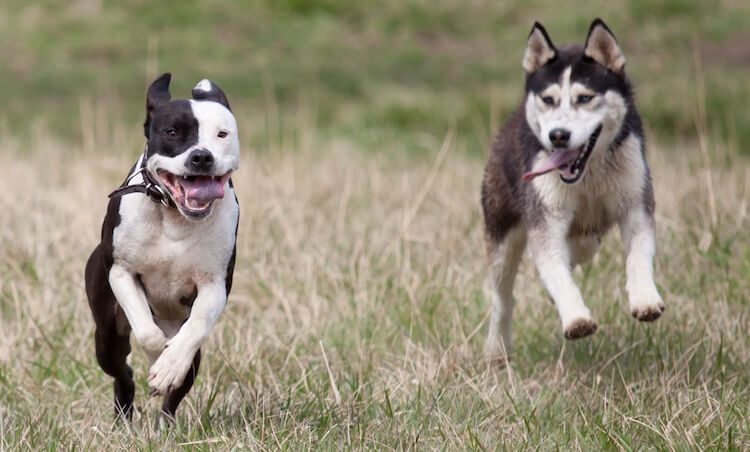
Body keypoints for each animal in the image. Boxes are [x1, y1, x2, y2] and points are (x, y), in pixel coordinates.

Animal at [87, 73, 242, 416]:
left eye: (222, 134)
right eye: (172, 132)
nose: (201, 156)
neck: (174, 215)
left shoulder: (214, 285)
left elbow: (197, 324)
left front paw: (168, 366)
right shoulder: (121, 272)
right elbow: (147, 333)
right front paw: (158, 357)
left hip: (192, 359)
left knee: (174, 396)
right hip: (106, 336)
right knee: (123, 373)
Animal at [482, 18, 664, 360]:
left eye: (585, 98)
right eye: (548, 99)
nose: (558, 135)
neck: (588, 175)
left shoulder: (634, 202)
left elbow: (638, 254)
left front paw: (645, 299)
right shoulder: (546, 219)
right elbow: (555, 270)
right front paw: (576, 318)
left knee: (583, 246)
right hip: (501, 232)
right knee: (503, 297)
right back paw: (497, 348)